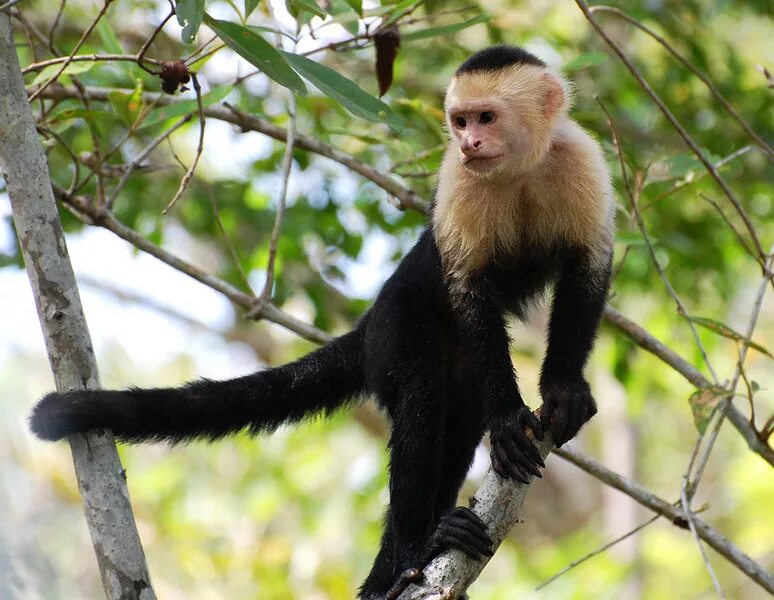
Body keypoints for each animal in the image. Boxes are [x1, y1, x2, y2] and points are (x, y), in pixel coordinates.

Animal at [28, 45, 612, 596]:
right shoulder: (456, 181)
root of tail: (370, 323)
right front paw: (511, 419)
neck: (519, 170)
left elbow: (588, 269)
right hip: (398, 329)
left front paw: (562, 390)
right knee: (422, 400)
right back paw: (414, 553)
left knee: (457, 421)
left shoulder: (582, 159)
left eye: (486, 118)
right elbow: (467, 288)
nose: (470, 143)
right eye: (459, 121)